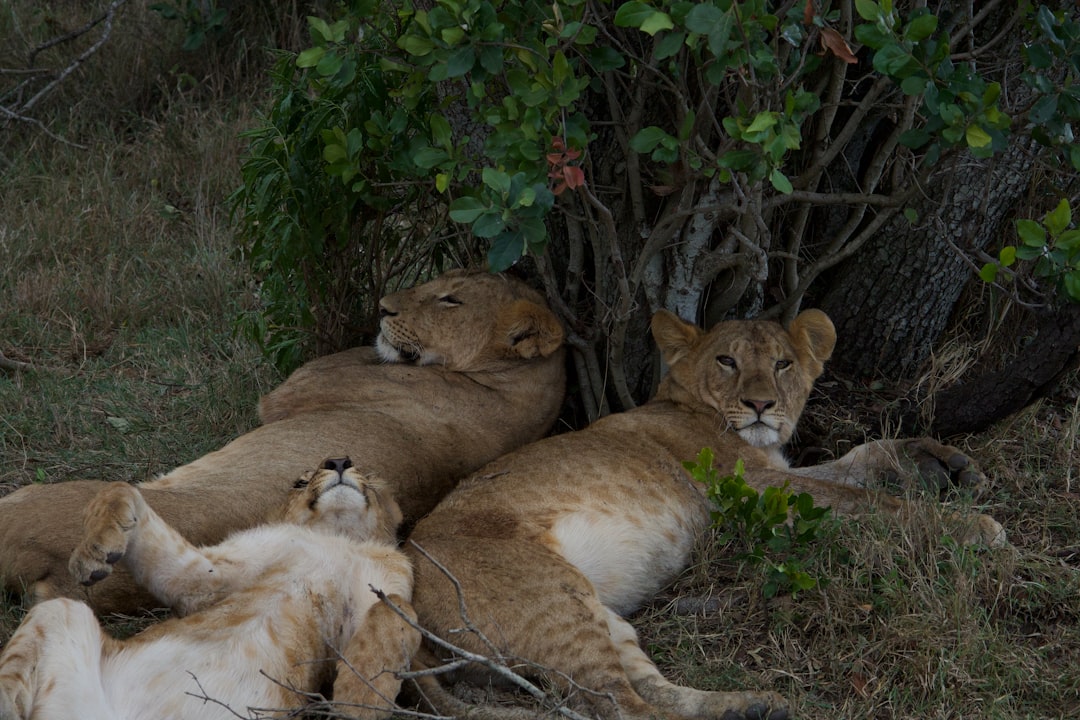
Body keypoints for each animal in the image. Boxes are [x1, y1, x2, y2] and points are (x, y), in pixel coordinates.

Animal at [0, 458, 419, 720]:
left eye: (366, 475)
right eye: (301, 481)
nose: (339, 460)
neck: (338, 536)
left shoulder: (378, 596)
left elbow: (397, 608)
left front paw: (359, 701)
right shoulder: (205, 577)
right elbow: (122, 490)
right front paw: (94, 552)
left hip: (63, 613)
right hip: (60, 608)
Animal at [404, 309, 1006, 720]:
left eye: (783, 364)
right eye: (728, 361)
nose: (762, 405)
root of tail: (402, 592)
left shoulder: (773, 473)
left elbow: (860, 460)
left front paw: (946, 465)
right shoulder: (757, 489)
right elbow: (867, 503)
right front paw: (973, 527)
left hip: (594, 610)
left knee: (646, 687)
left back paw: (754, 705)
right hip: (549, 603)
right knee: (621, 707)